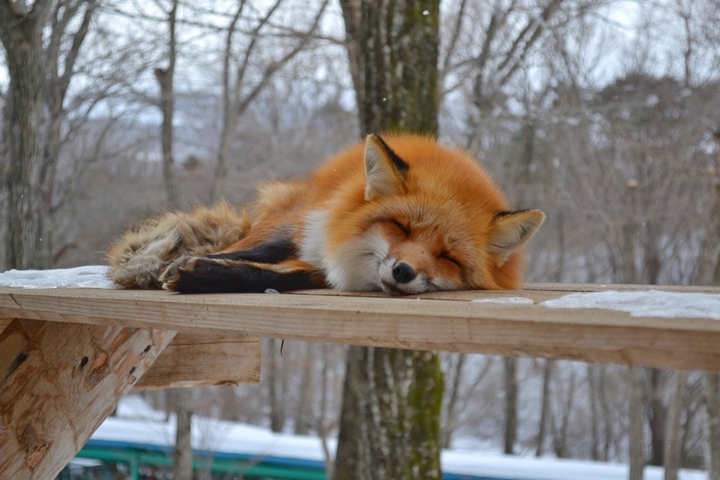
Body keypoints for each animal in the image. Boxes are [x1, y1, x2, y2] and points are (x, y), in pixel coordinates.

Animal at [107, 133, 544, 294]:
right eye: (400, 226)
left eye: (447, 257)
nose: (403, 271)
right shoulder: (307, 228)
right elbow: (251, 254)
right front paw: (186, 266)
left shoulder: (318, 268)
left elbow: (275, 276)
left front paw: (203, 275)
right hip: (291, 215)